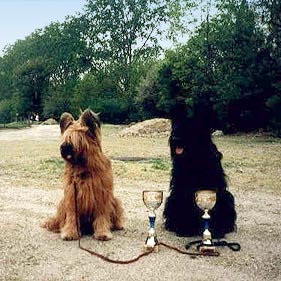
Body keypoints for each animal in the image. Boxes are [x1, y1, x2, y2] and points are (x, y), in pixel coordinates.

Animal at [41, 108, 123, 240]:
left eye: (77, 137)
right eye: (66, 137)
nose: (64, 147)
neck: (83, 166)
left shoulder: (101, 194)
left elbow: (102, 215)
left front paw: (102, 233)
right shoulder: (71, 194)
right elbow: (72, 216)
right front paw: (70, 233)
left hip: (115, 200)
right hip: (62, 203)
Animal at [163, 100, 235, 236]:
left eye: (191, 127)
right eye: (176, 124)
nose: (176, 139)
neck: (195, 157)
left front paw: (216, 230)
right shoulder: (181, 187)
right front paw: (184, 228)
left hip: (227, 198)